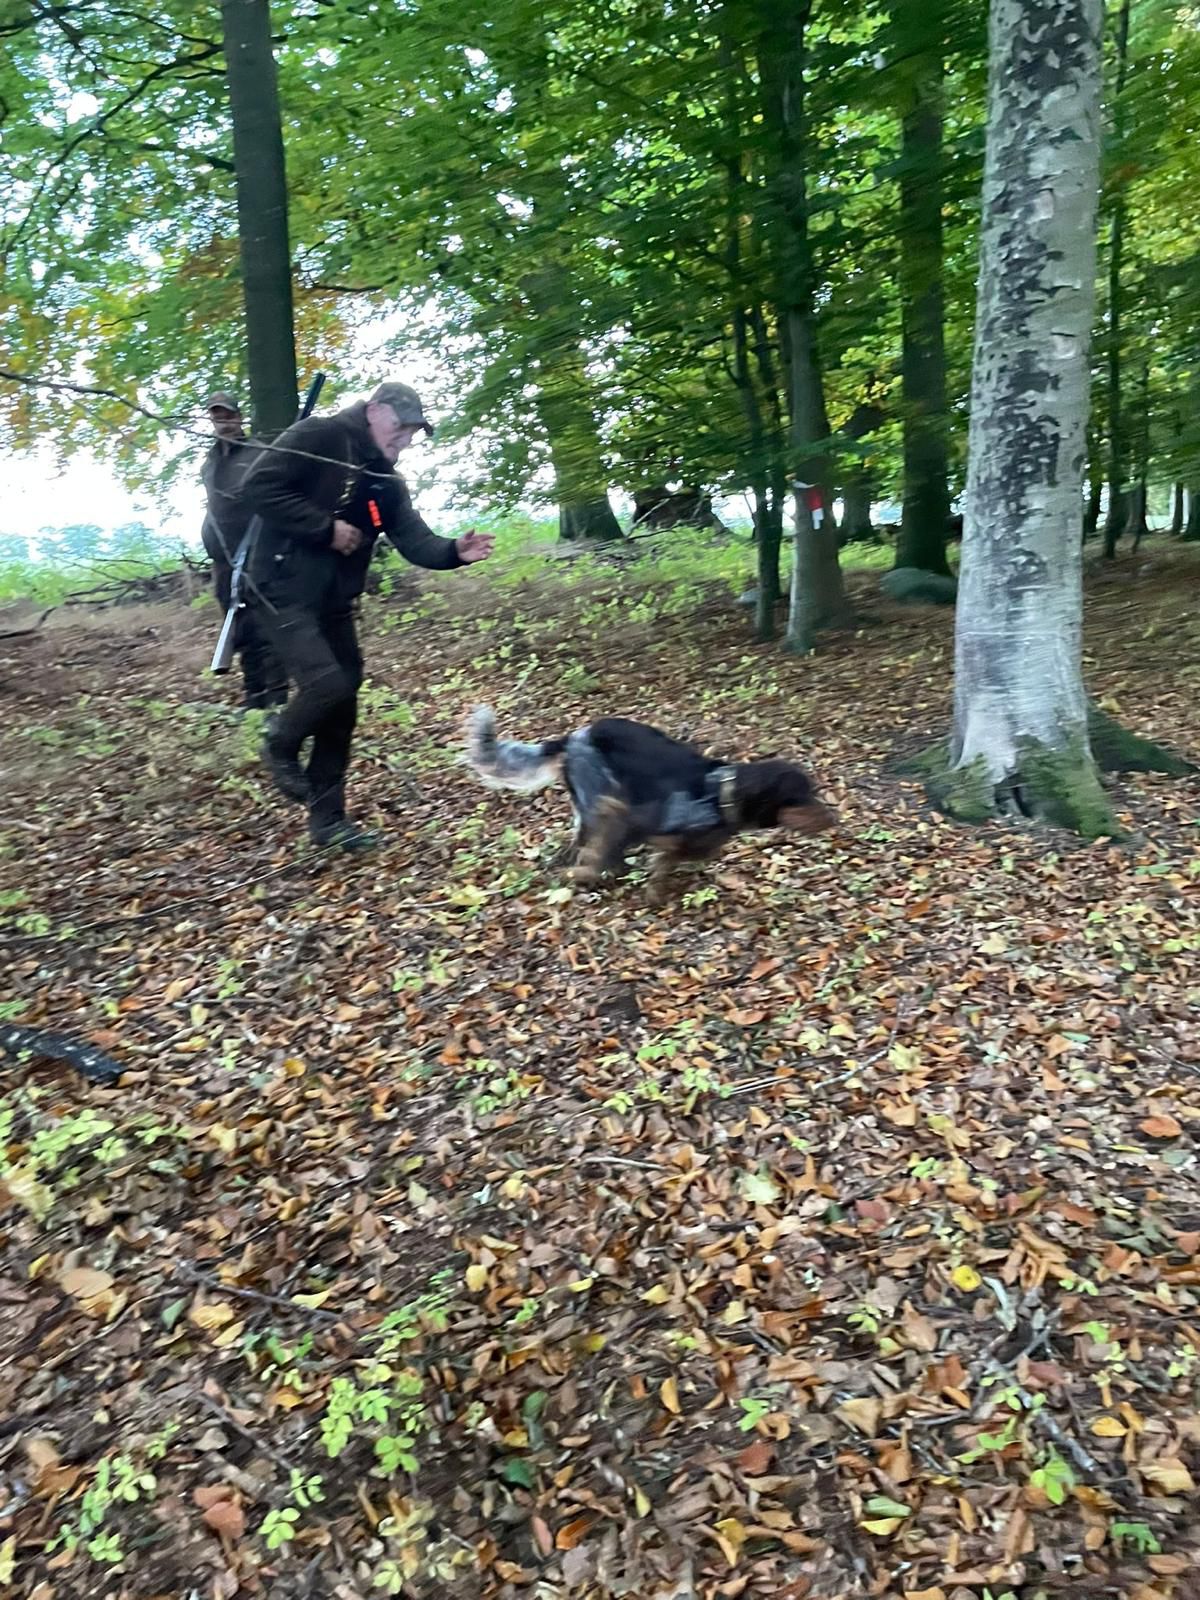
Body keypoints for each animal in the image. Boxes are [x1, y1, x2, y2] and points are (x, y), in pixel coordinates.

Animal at [466, 707, 834, 899]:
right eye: (800, 796)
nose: (835, 819)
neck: (718, 793)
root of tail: (571, 738)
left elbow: (672, 855)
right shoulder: (625, 815)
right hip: (600, 791)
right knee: (586, 841)